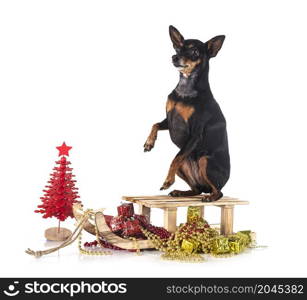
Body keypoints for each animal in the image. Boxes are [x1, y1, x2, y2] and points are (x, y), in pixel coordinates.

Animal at [145, 25, 231, 202]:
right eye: (178, 48)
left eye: (194, 52)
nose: (175, 57)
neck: (185, 89)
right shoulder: (169, 120)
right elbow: (155, 124)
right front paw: (149, 142)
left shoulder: (195, 134)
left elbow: (175, 159)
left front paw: (168, 180)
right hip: (186, 165)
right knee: (196, 189)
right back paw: (181, 192)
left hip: (205, 161)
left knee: (218, 191)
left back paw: (210, 197)